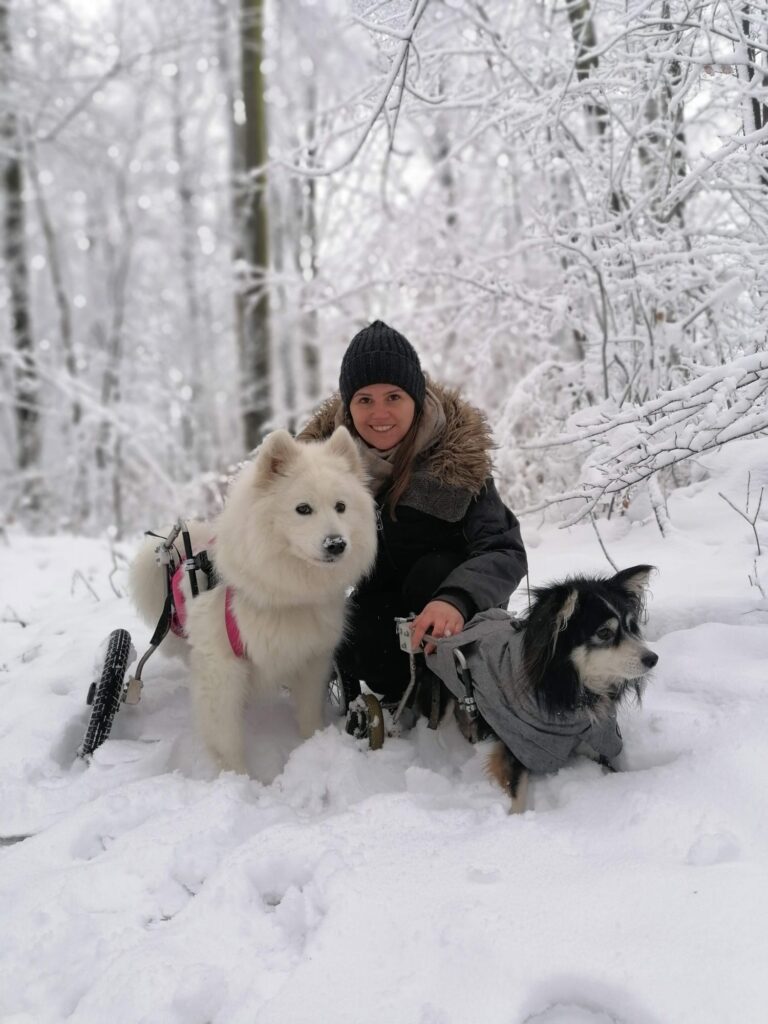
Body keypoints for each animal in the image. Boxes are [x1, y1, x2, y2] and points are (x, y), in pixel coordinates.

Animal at [132, 428, 378, 770]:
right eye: (303, 509)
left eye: (341, 506)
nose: (336, 544)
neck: (282, 596)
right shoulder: (222, 669)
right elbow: (227, 736)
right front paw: (237, 776)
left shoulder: (312, 659)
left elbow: (309, 711)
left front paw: (313, 746)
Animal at [423, 565, 659, 811]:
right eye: (604, 633)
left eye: (631, 628)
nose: (653, 658)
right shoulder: (519, 746)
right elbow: (518, 790)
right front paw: (516, 816)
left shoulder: (598, 740)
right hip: (441, 700)